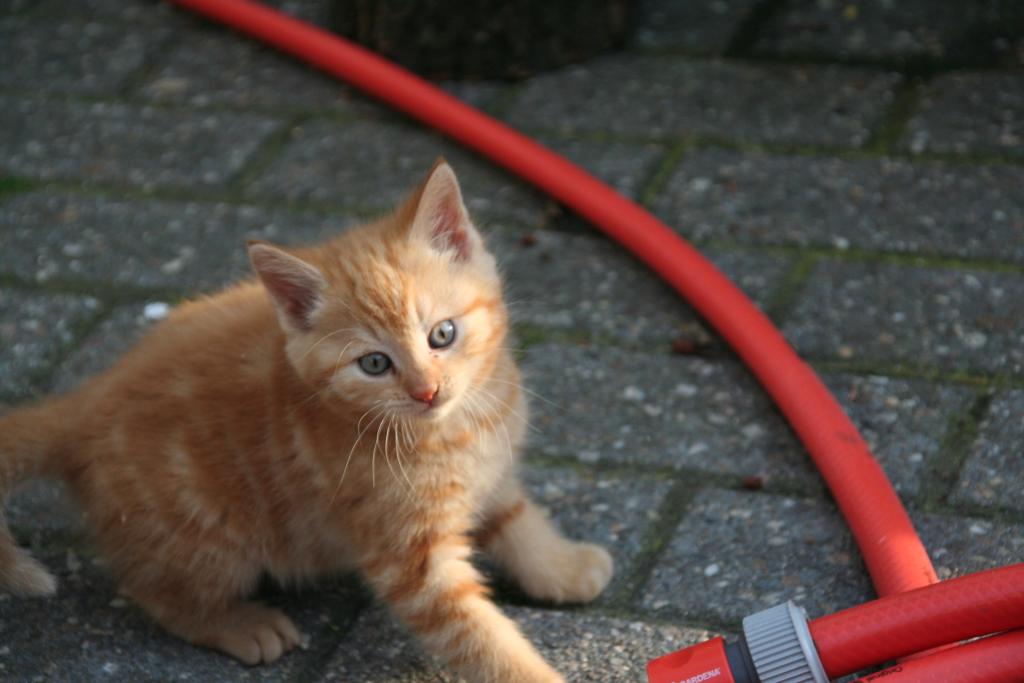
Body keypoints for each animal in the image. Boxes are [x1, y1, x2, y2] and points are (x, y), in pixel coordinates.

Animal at [0, 160, 613, 682]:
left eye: (443, 334)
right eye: (374, 364)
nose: (427, 390)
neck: (455, 431)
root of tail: (86, 400)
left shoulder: (494, 473)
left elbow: (517, 519)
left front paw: (561, 567)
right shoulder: (413, 562)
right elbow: (479, 636)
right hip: (204, 533)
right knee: (154, 592)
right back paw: (237, 623)